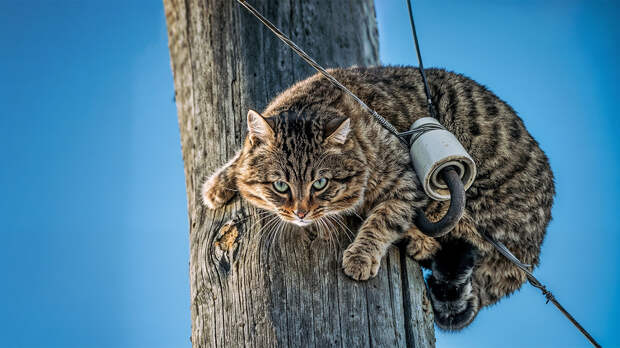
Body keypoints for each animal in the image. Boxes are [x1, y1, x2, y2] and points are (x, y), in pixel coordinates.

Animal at [201, 66, 556, 330]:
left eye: (320, 183)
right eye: (280, 186)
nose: (301, 212)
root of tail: (531, 253)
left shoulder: (407, 180)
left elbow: (383, 221)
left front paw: (361, 255)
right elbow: (239, 162)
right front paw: (220, 183)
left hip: (471, 200)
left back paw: (420, 240)